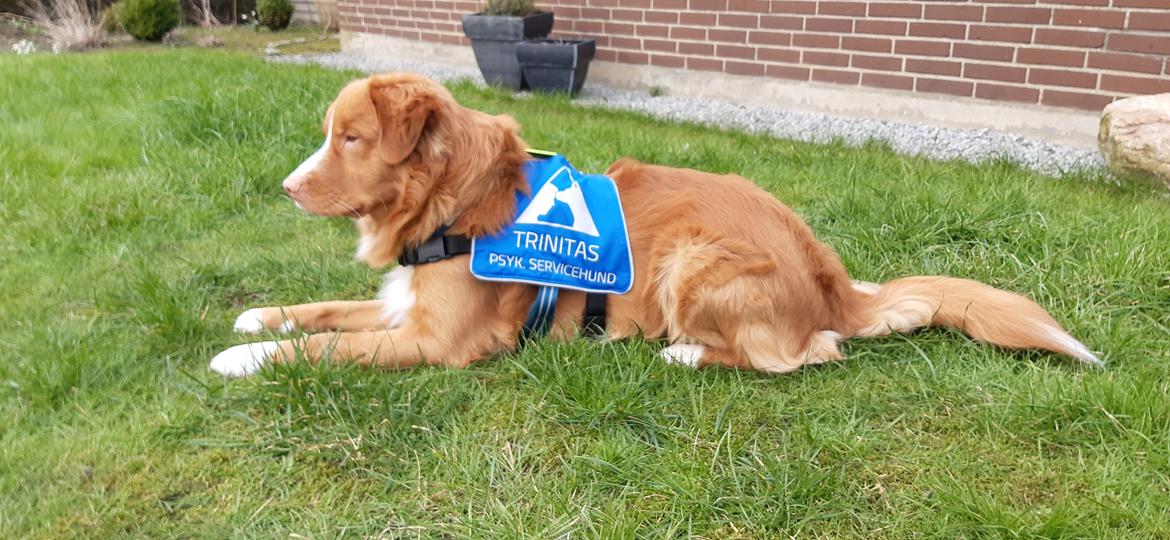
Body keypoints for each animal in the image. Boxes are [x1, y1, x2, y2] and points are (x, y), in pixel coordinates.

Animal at [208, 71, 1095, 378]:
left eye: (351, 138)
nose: (286, 188)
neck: (451, 199)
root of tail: (835, 284)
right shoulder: (405, 302)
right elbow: (325, 309)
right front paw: (258, 316)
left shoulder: (437, 340)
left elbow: (328, 347)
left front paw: (242, 357)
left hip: (693, 259)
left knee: (802, 355)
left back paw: (683, 353)